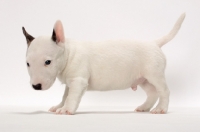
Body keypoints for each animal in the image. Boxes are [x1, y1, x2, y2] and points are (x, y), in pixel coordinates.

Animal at [22, 13, 186, 114]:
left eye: (47, 62)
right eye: (27, 64)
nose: (36, 86)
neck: (69, 53)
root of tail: (155, 43)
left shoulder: (78, 81)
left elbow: (71, 97)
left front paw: (66, 109)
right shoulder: (71, 82)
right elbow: (65, 95)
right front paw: (59, 106)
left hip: (154, 74)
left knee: (164, 91)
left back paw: (161, 109)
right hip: (143, 79)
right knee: (152, 93)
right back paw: (143, 107)